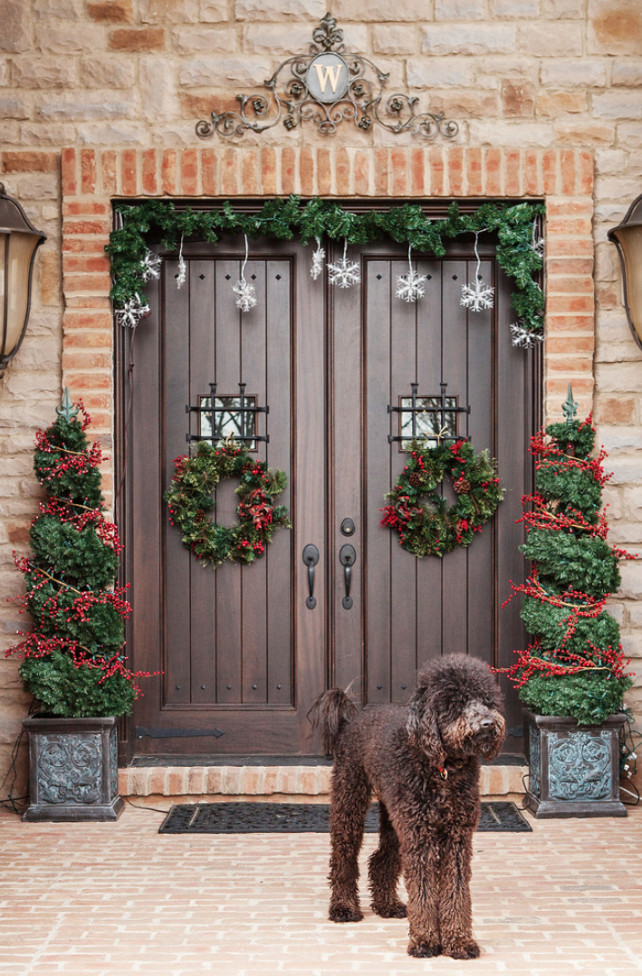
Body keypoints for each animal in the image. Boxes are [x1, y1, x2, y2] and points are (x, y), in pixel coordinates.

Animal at [308, 652, 502, 956]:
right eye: (457, 702)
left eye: (487, 700)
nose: (488, 724)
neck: (443, 768)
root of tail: (352, 718)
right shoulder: (420, 837)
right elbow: (423, 891)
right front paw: (425, 940)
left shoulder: (457, 837)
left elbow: (456, 891)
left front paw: (459, 941)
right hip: (350, 799)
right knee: (343, 856)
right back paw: (343, 907)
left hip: (395, 819)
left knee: (380, 859)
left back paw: (387, 904)